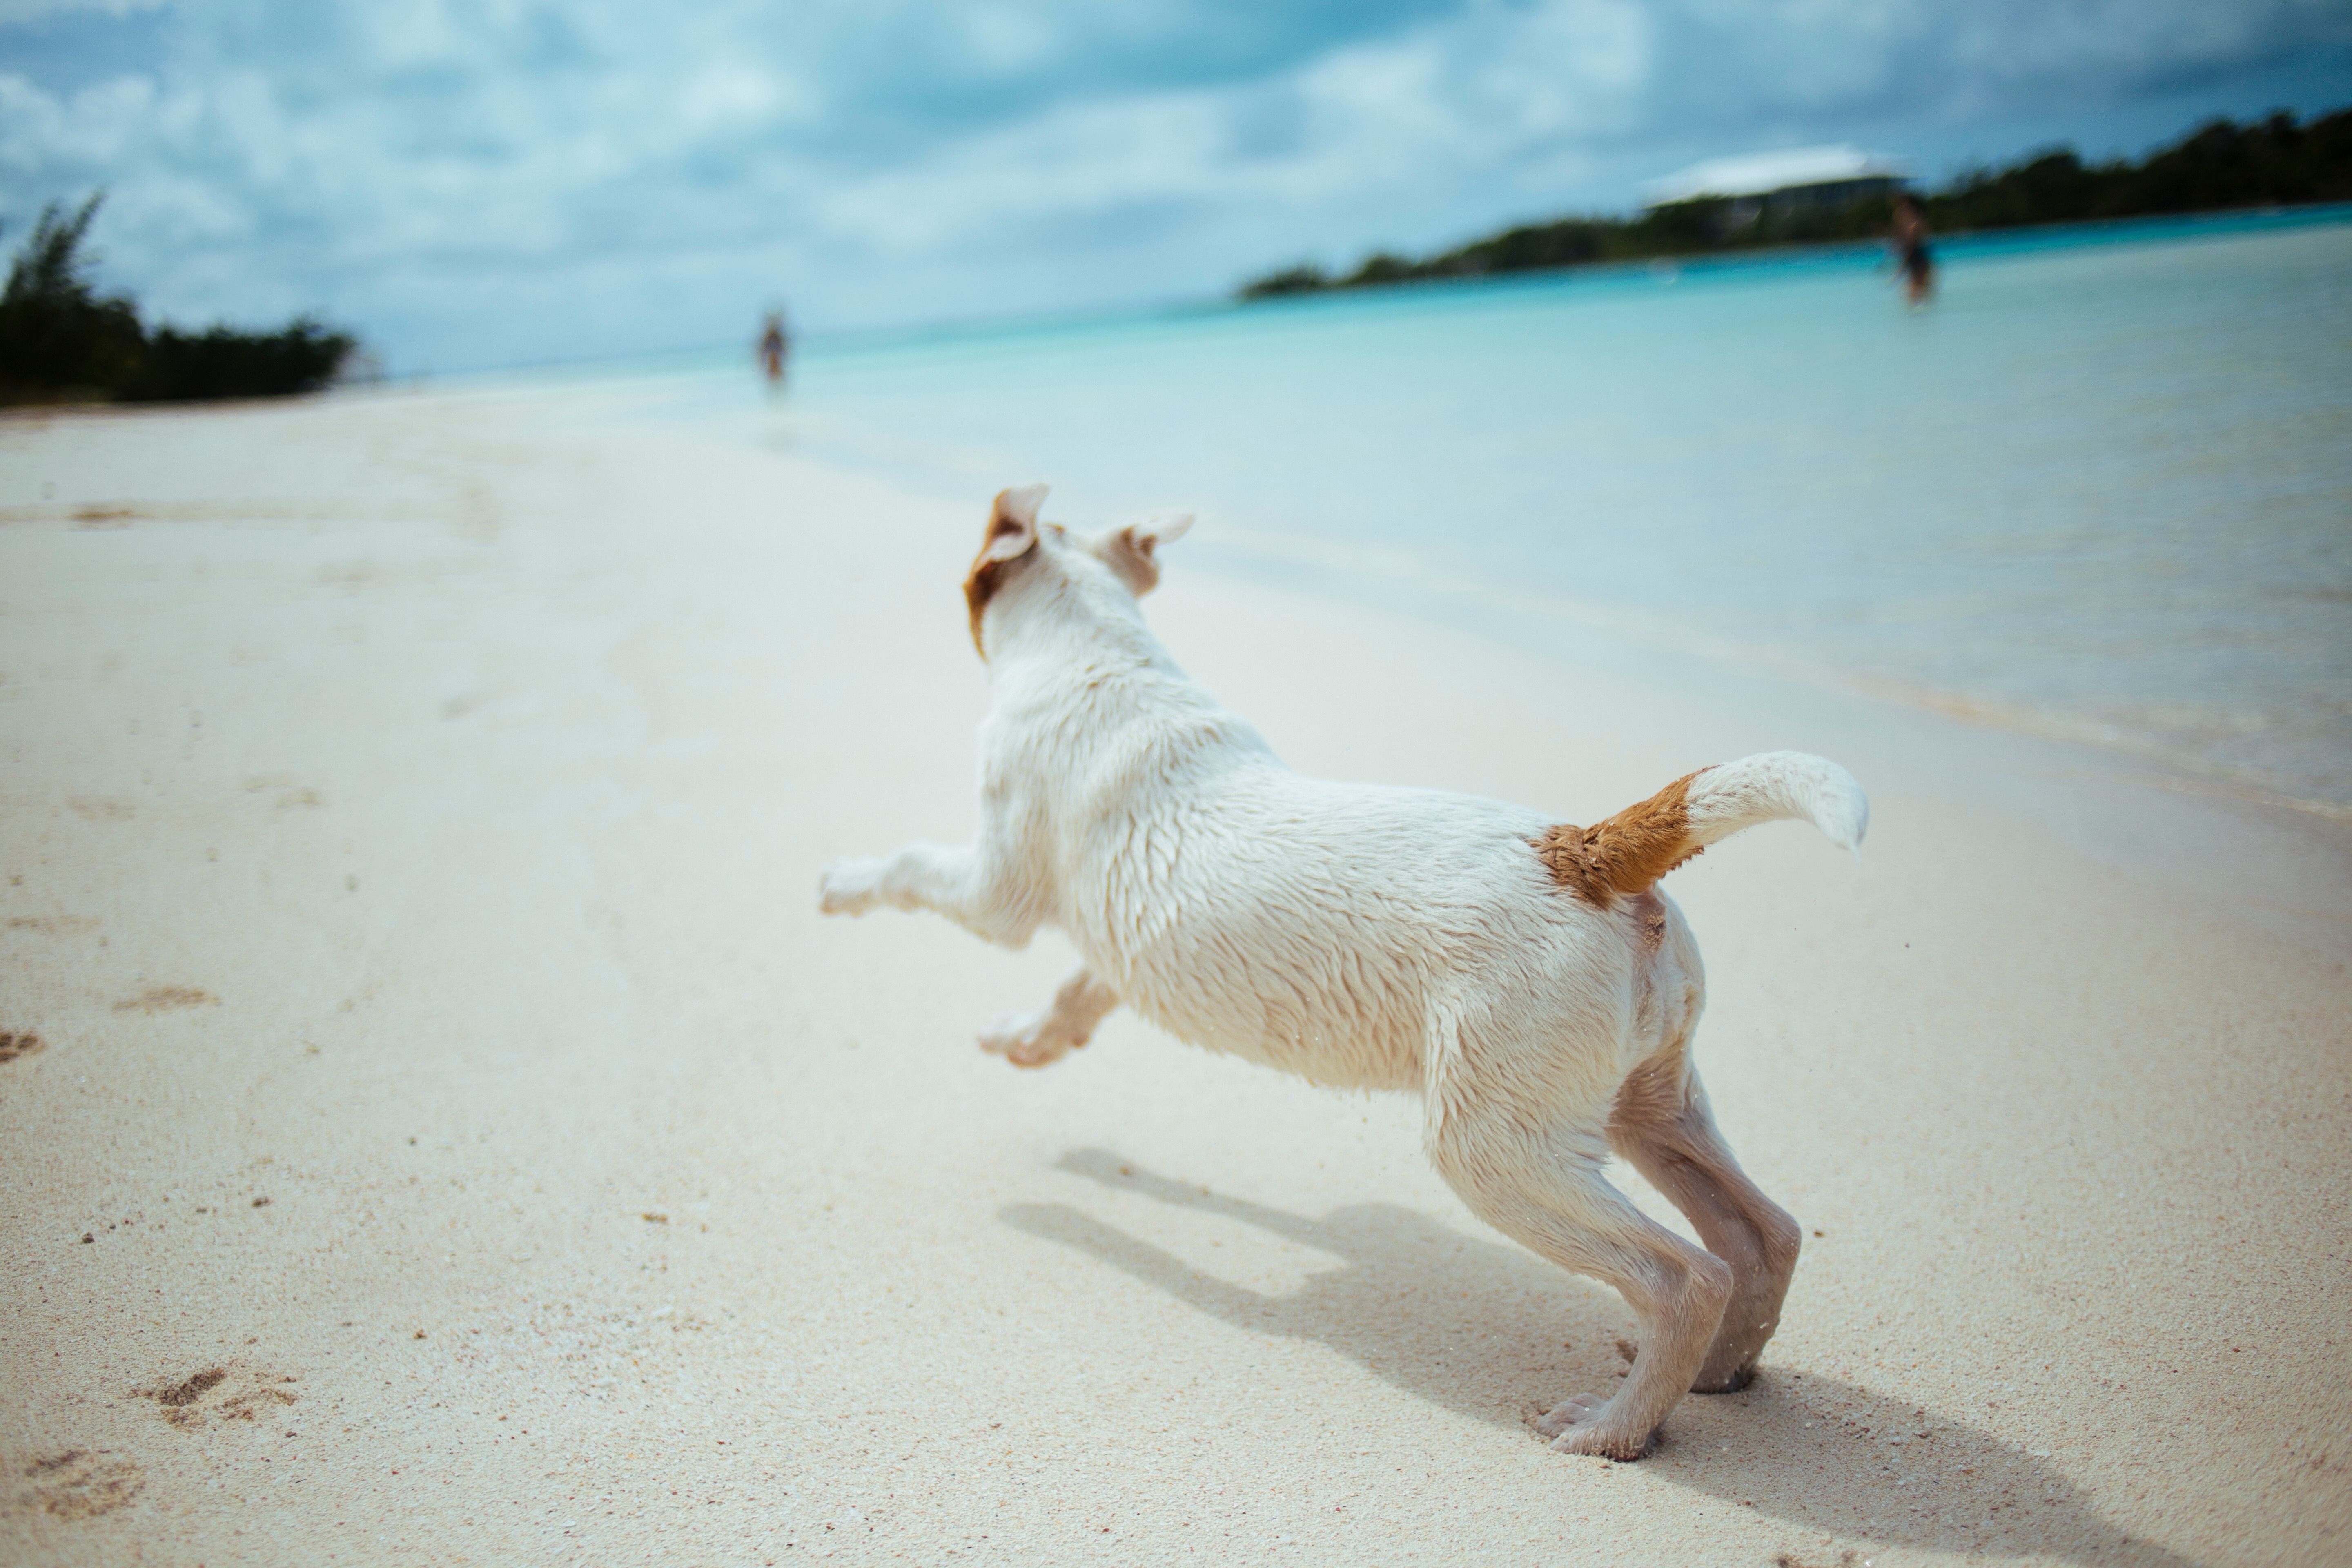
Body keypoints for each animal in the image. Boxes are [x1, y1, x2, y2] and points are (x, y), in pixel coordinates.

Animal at [818, 484, 1862, 1467]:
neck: (1099, 655)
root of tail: (1581, 852)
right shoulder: (1120, 939)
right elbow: (1081, 988)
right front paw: (1029, 1041)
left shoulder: (996, 890)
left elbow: (912, 867)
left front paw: (839, 885)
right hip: (1646, 1104)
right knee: (1762, 1233)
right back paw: (1720, 1373)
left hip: (1496, 1147)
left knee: (1682, 1274)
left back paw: (1615, 1427)